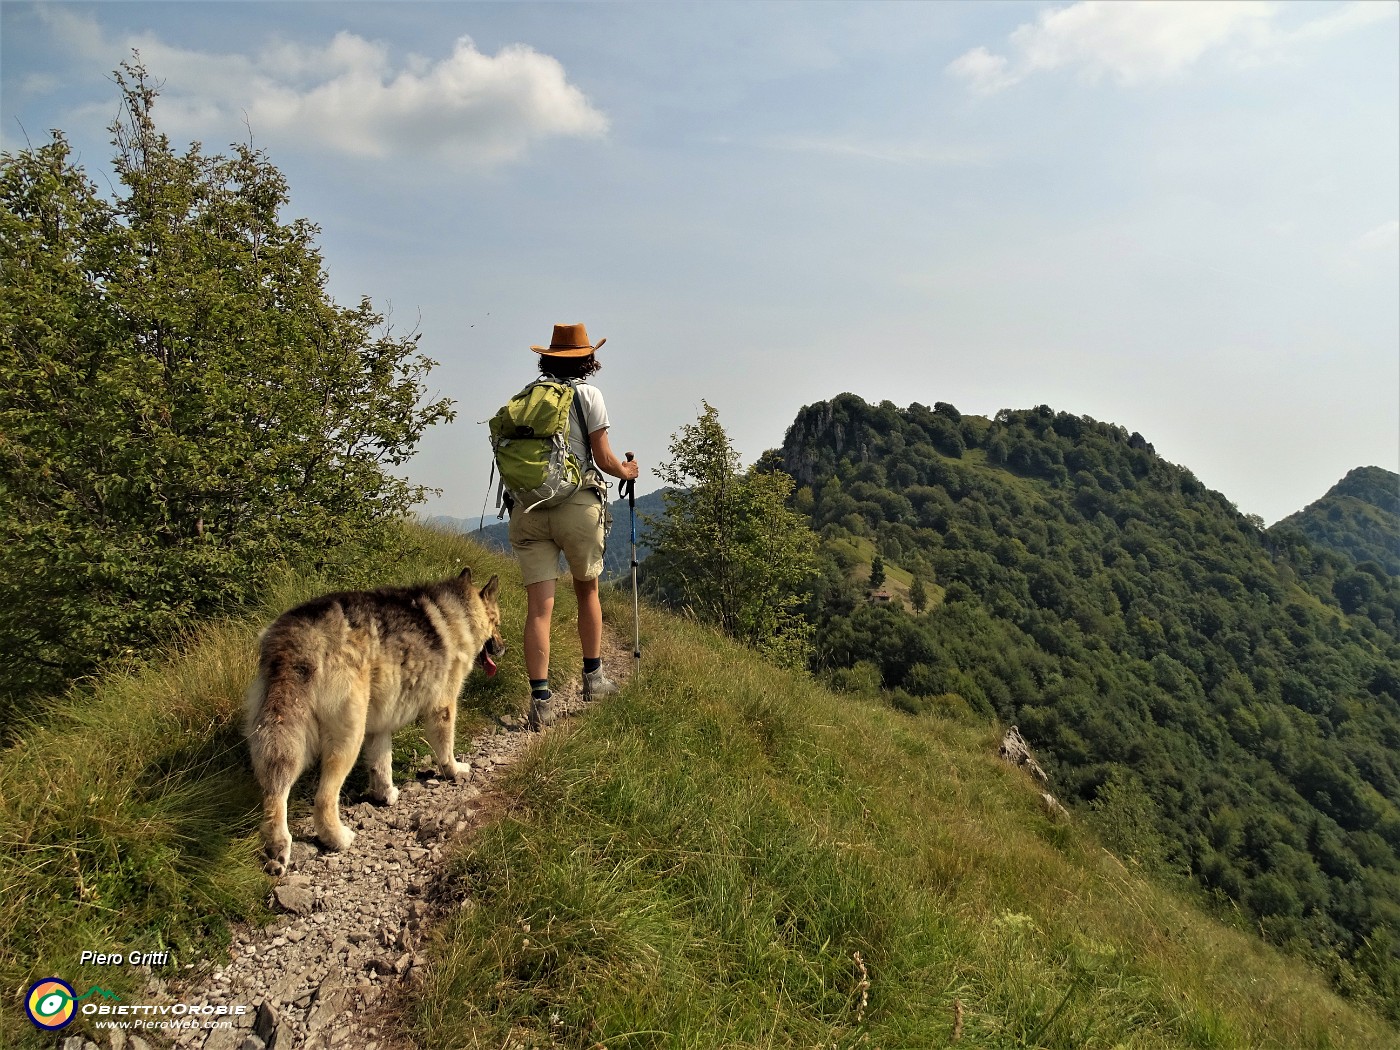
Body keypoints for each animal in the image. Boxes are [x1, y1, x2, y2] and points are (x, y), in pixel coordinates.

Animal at [246, 571, 504, 873]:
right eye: (497, 623)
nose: (503, 647)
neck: (459, 611)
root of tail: (299, 636)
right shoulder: (443, 708)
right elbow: (445, 748)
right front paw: (454, 770)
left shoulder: (379, 727)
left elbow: (381, 764)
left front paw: (385, 794)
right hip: (347, 739)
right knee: (323, 799)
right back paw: (337, 838)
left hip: (281, 739)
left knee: (275, 792)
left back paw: (277, 847)